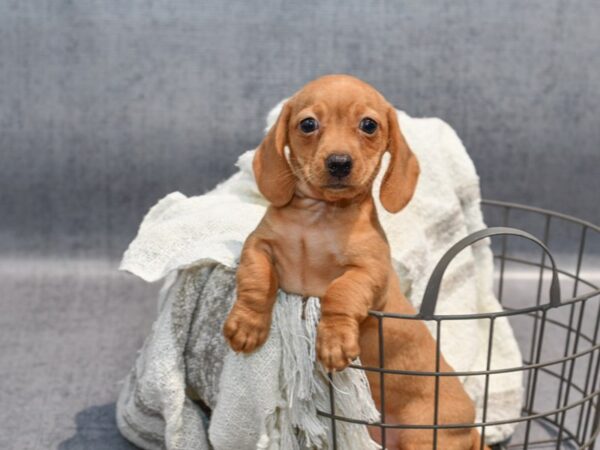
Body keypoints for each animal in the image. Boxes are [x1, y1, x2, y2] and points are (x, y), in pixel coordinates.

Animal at [223, 75, 486, 448]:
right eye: (308, 124)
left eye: (369, 125)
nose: (339, 162)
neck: (319, 218)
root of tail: (473, 429)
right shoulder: (258, 245)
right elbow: (256, 277)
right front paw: (247, 324)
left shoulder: (371, 274)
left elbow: (340, 292)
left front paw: (333, 341)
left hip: (424, 435)